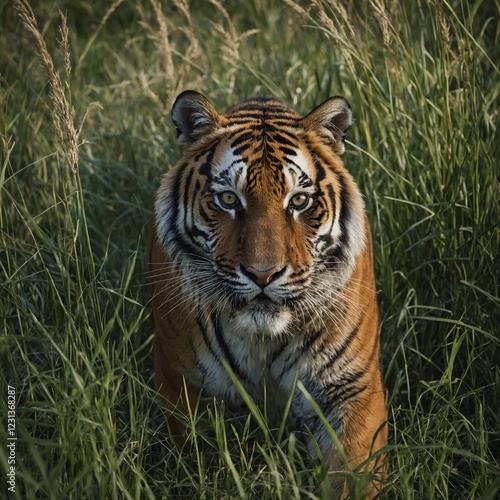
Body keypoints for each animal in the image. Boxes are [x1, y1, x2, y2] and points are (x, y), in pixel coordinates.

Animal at [146, 91, 388, 496]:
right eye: (228, 200)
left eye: (299, 201)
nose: (263, 274)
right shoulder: (181, 383)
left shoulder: (352, 389)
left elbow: (355, 477)